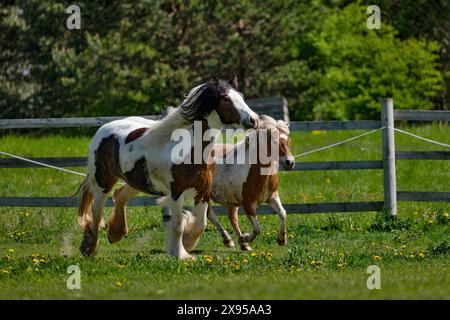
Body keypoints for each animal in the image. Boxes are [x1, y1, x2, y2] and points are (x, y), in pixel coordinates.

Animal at [76, 75, 256, 260]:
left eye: (241, 97)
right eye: (226, 99)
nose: (253, 120)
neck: (192, 150)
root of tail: (102, 130)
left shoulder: (204, 191)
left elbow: (200, 223)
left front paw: (188, 242)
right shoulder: (176, 191)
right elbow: (178, 224)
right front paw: (181, 254)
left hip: (136, 182)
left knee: (119, 195)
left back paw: (115, 234)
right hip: (103, 181)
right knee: (97, 213)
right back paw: (90, 248)